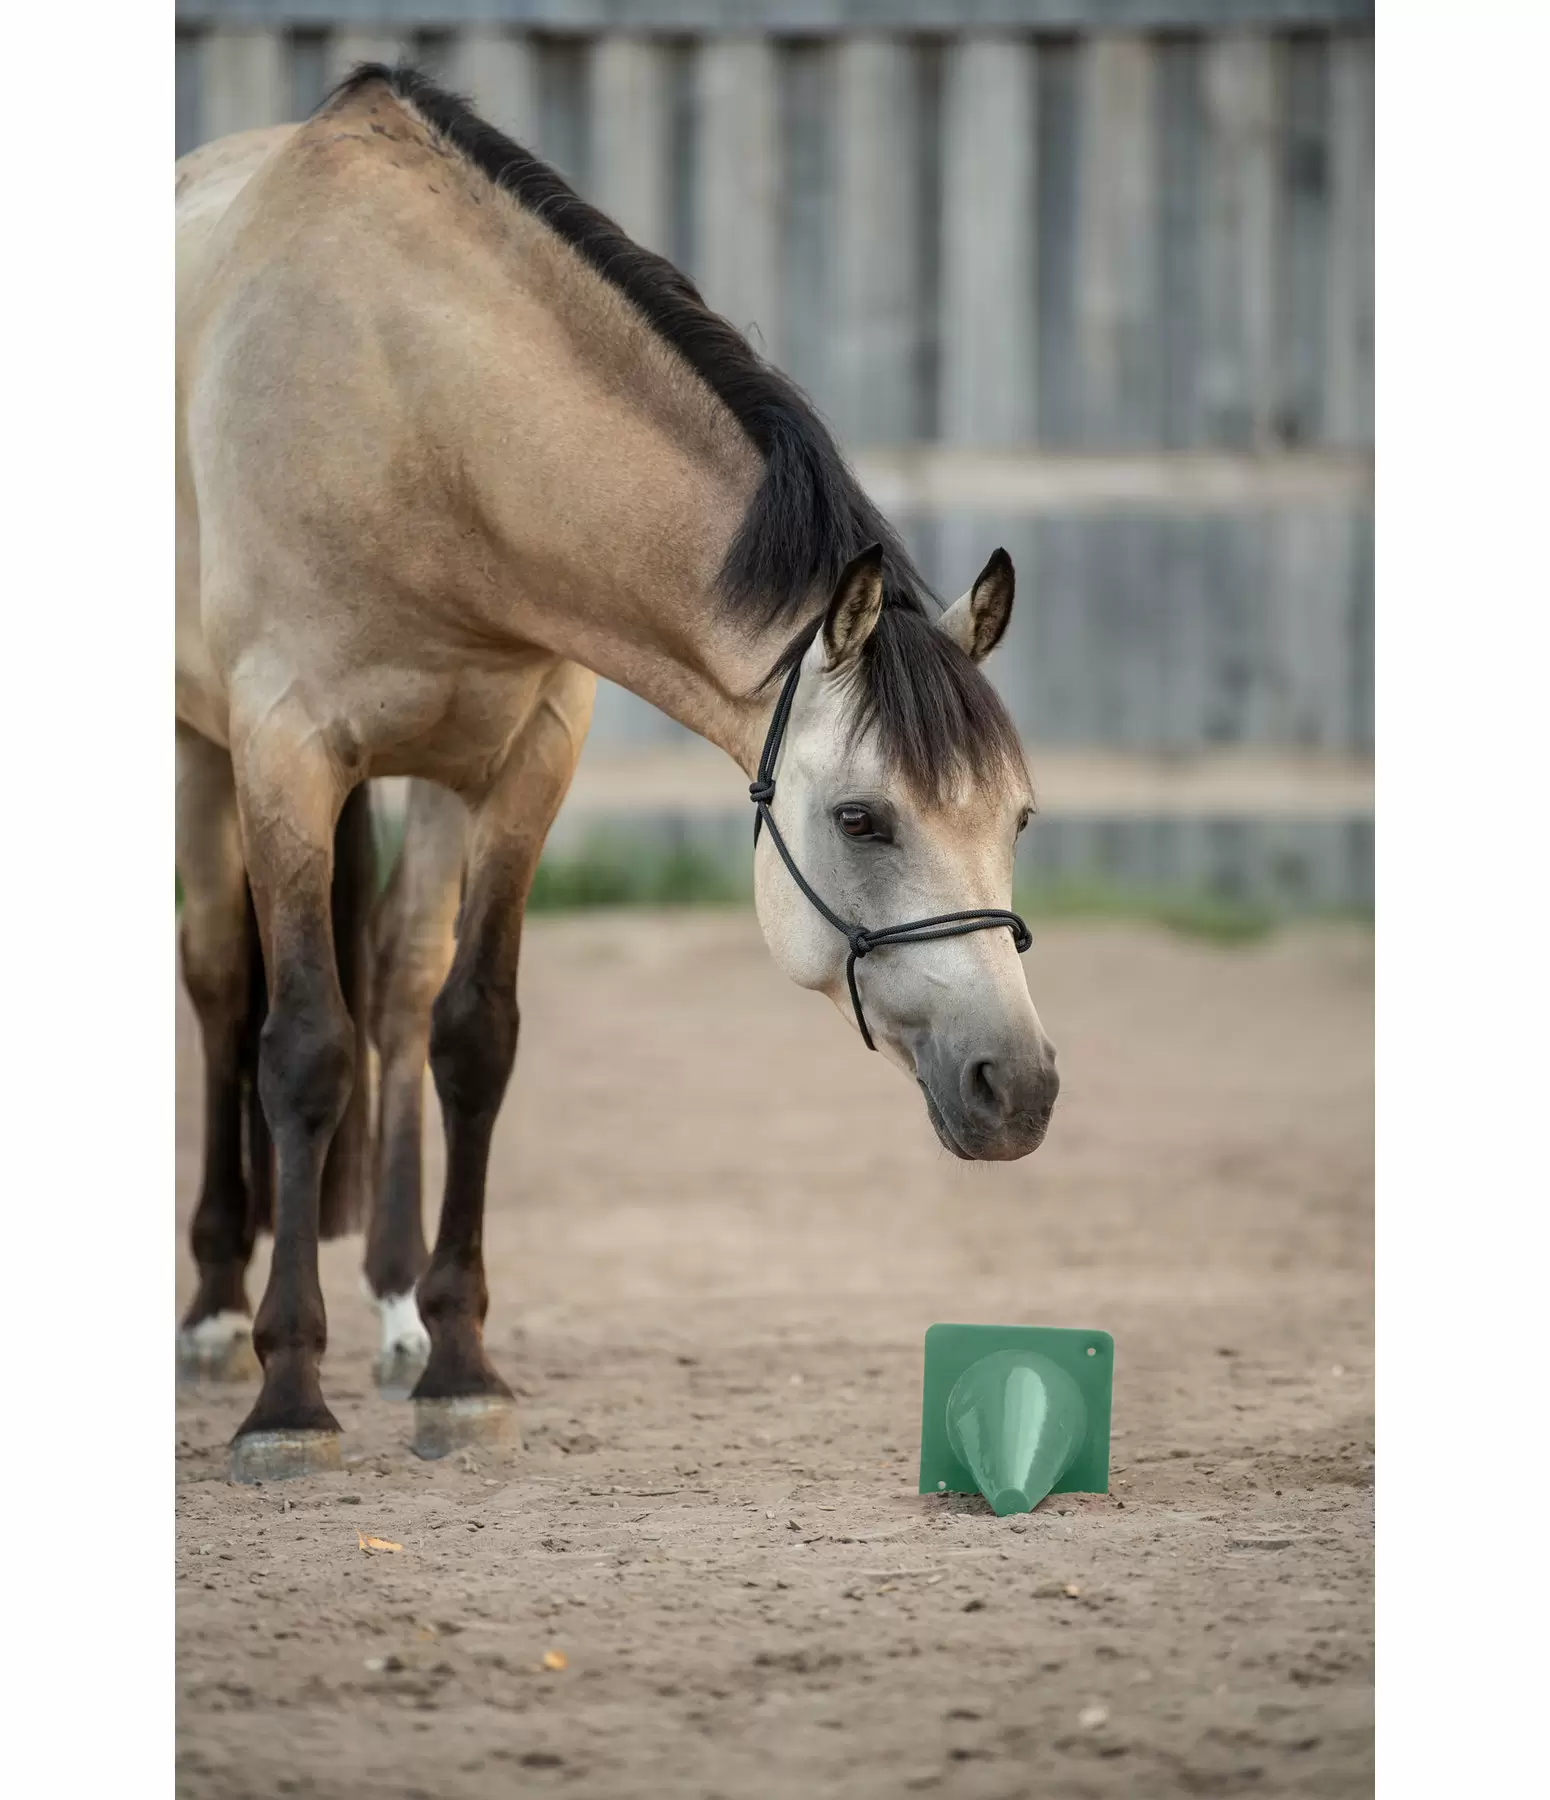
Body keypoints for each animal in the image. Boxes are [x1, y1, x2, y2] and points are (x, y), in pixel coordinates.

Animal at [175, 63, 1058, 1483]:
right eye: (861, 818)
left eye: (1018, 820)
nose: (1015, 1088)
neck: (415, 415)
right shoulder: (284, 754)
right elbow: (299, 1048)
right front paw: (287, 1398)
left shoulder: (528, 760)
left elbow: (473, 1035)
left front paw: (461, 1371)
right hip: (202, 753)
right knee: (220, 991)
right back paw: (211, 1315)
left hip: (435, 780)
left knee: (400, 992)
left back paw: (395, 1313)